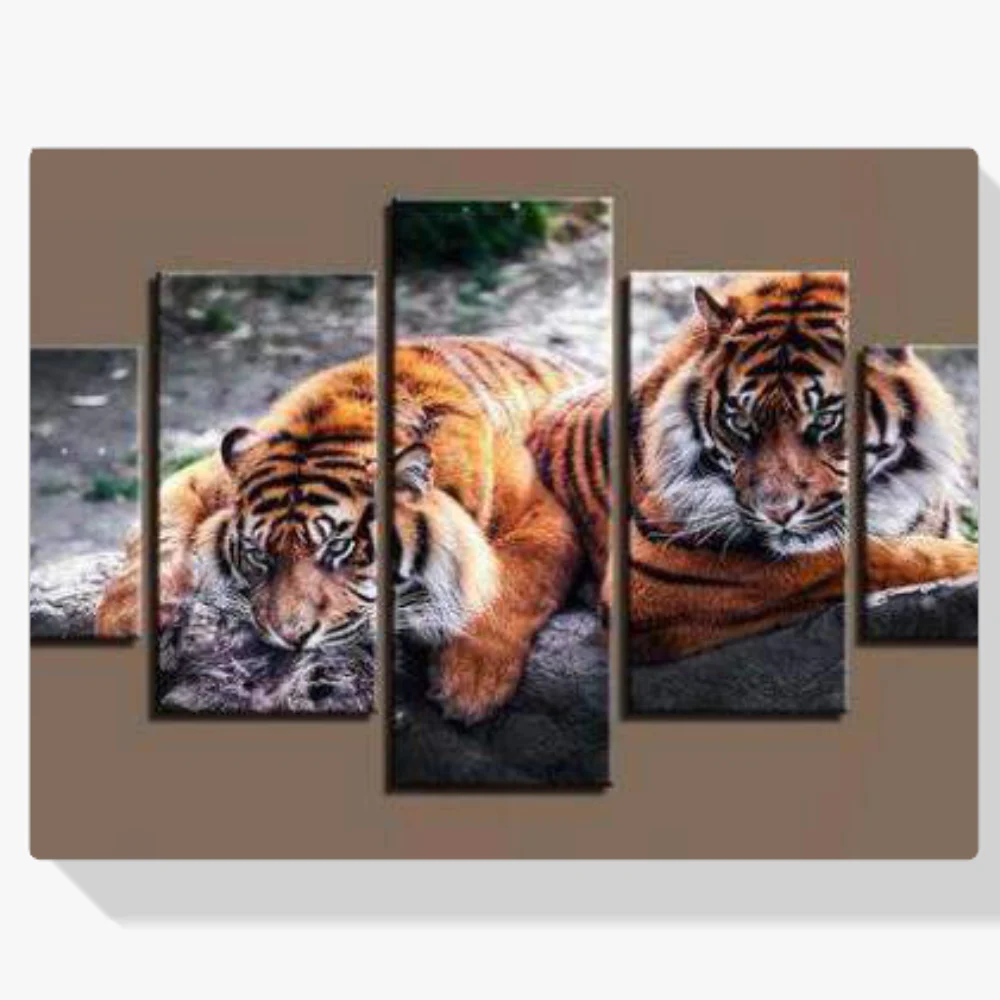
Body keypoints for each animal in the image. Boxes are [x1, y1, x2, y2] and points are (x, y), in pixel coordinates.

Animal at [96, 338, 587, 722]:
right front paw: (125, 623)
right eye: (258, 555)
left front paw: (469, 683)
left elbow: (509, 583)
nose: (289, 636)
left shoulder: (545, 514)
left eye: (338, 549)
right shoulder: (201, 478)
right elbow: (157, 529)